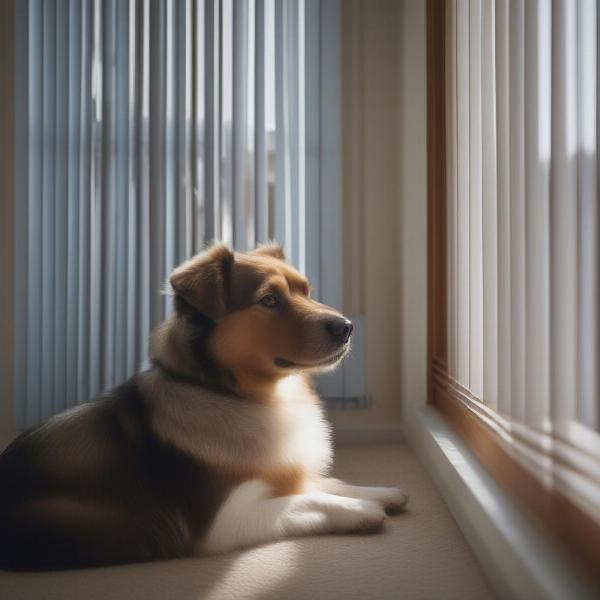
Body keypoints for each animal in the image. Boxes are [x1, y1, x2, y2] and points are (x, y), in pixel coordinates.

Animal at [0, 244, 408, 572]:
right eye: (269, 300)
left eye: (306, 291)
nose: (347, 327)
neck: (229, 394)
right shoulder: (224, 522)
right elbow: (303, 498)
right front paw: (359, 510)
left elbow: (326, 482)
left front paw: (379, 492)